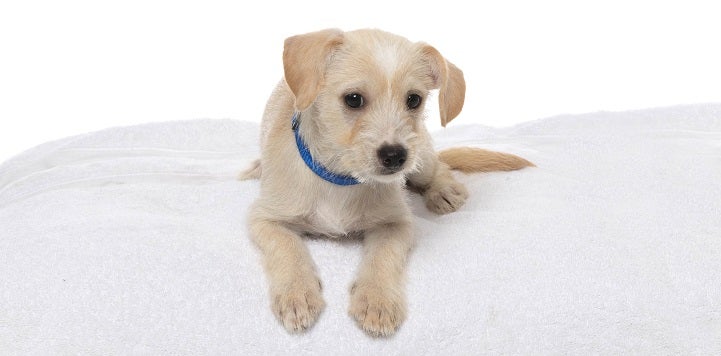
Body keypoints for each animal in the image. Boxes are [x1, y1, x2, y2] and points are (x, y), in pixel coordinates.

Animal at [245, 28, 532, 336]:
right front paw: (297, 293)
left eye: (414, 100)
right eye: (354, 99)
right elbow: (288, 247)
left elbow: (382, 256)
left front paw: (376, 300)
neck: (341, 180)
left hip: (422, 158)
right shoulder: (265, 219)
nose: (396, 156)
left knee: (439, 166)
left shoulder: (396, 224)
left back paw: (443, 191)